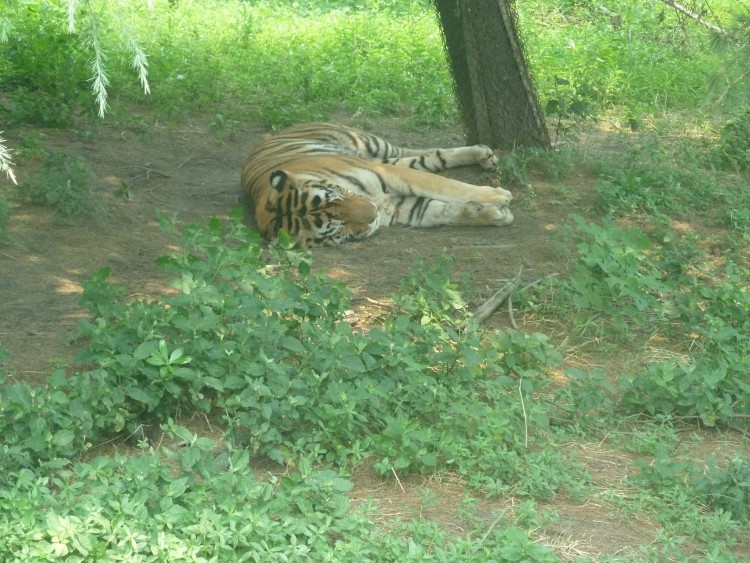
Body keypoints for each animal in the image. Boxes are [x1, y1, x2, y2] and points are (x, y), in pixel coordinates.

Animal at [244, 123, 516, 247]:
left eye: (336, 195)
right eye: (336, 227)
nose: (373, 212)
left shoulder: (390, 175)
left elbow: (448, 187)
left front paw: (499, 195)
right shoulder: (401, 207)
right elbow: (444, 211)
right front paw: (497, 214)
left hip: (373, 147)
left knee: (421, 153)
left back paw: (484, 153)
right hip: (385, 159)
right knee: (429, 157)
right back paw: (483, 155)